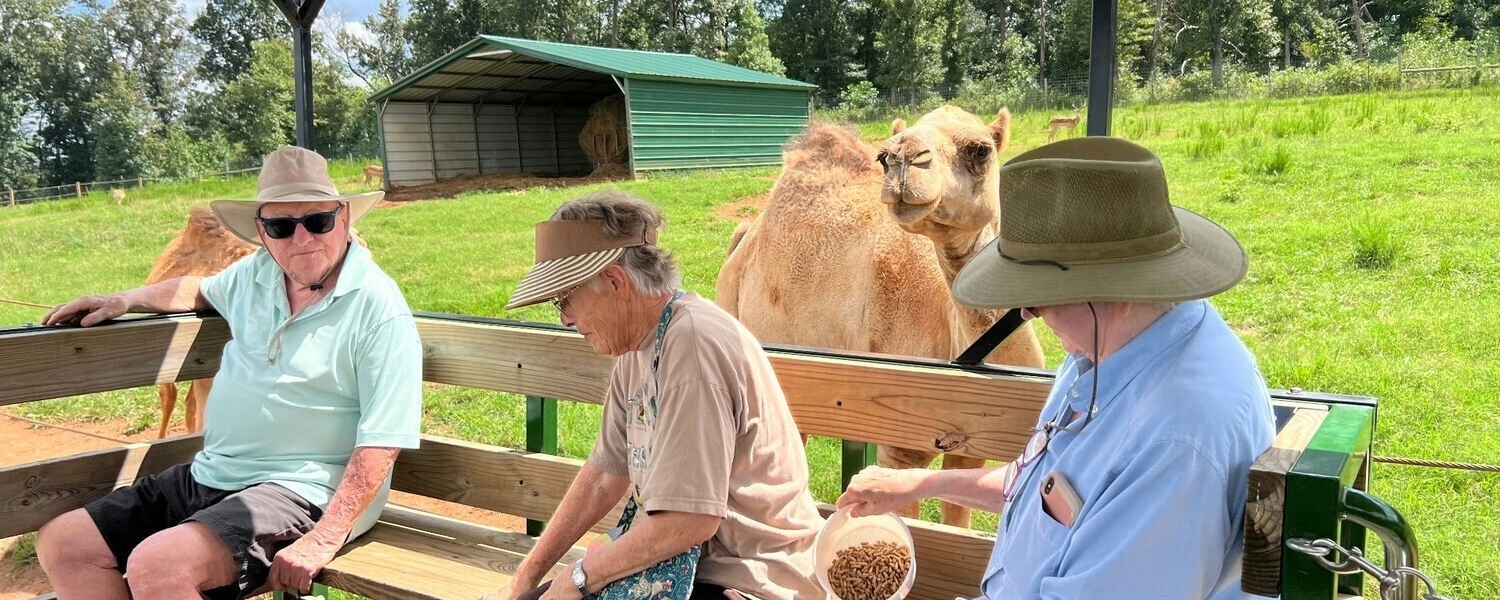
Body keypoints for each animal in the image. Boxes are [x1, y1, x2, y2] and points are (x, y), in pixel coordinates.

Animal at [717, 107, 1044, 528]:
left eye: (981, 150)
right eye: (884, 155)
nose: (903, 157)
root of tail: (745, 235)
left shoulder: (972, 446)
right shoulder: (900, 450)